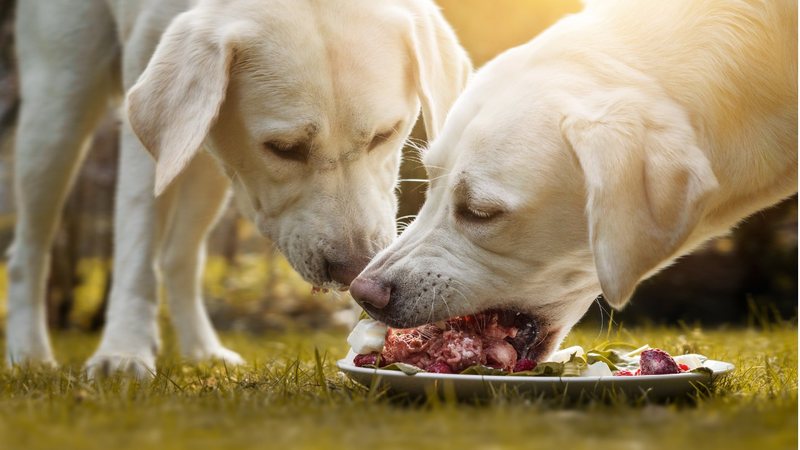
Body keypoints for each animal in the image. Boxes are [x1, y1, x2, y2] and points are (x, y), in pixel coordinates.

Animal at [6, 0, 468, 376]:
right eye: (283, 148)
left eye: (384, 135)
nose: (354, 270)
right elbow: (137, 241)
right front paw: (123, 352)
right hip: (59, 108)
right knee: (29, 248)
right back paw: (28, 352)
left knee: (179, 257)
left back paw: (201, 349)